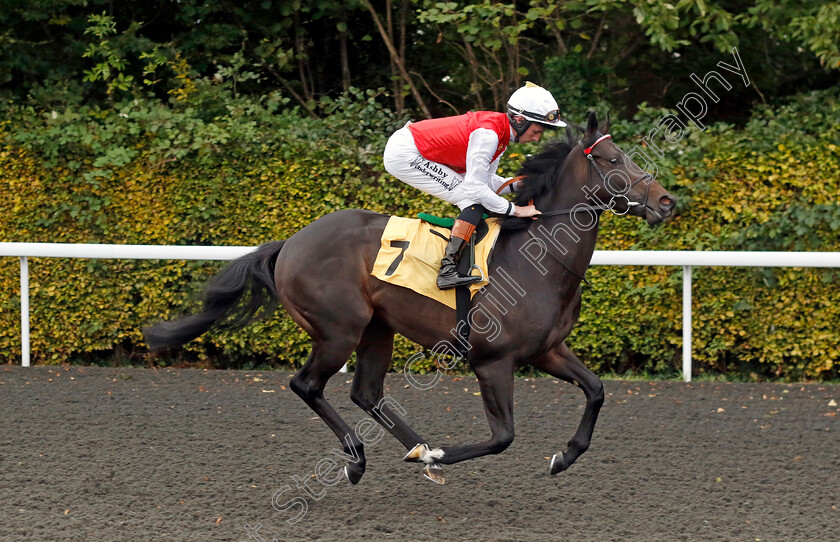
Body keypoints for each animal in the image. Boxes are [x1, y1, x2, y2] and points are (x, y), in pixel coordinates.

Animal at [144, 112, 680, 486]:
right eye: (612, 160)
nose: (666, 202)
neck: (538, 256)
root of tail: (291, 243)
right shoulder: (492, 361)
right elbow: (503, 437)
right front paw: (443, 452)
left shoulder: (548, 350)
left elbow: (596, 389)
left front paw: (564, 456)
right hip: (338, 330)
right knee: (307, 385)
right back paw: (362, 458)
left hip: (377, 329)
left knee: (366, 392)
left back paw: (417, 450)